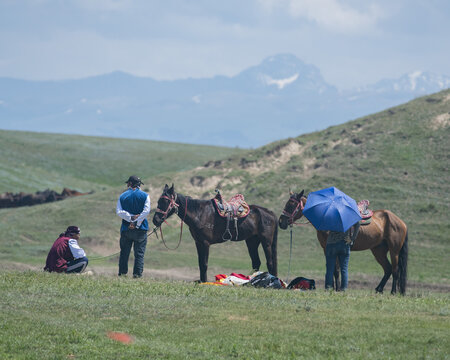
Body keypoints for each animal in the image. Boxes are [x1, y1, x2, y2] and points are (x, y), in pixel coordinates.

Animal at [278, 190, 408, 294]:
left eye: (291, 204)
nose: (281, 222)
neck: (327, 215)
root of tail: (400, 221)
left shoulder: (332, 248)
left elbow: (336, 270)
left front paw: (336, 288)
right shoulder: (327, 249)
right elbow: (333, 269)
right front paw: (333, 287)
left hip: (394, 251)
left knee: (395, 270)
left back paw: (393, 292)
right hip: (378, 251)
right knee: (388, 269)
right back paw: (379, 289)